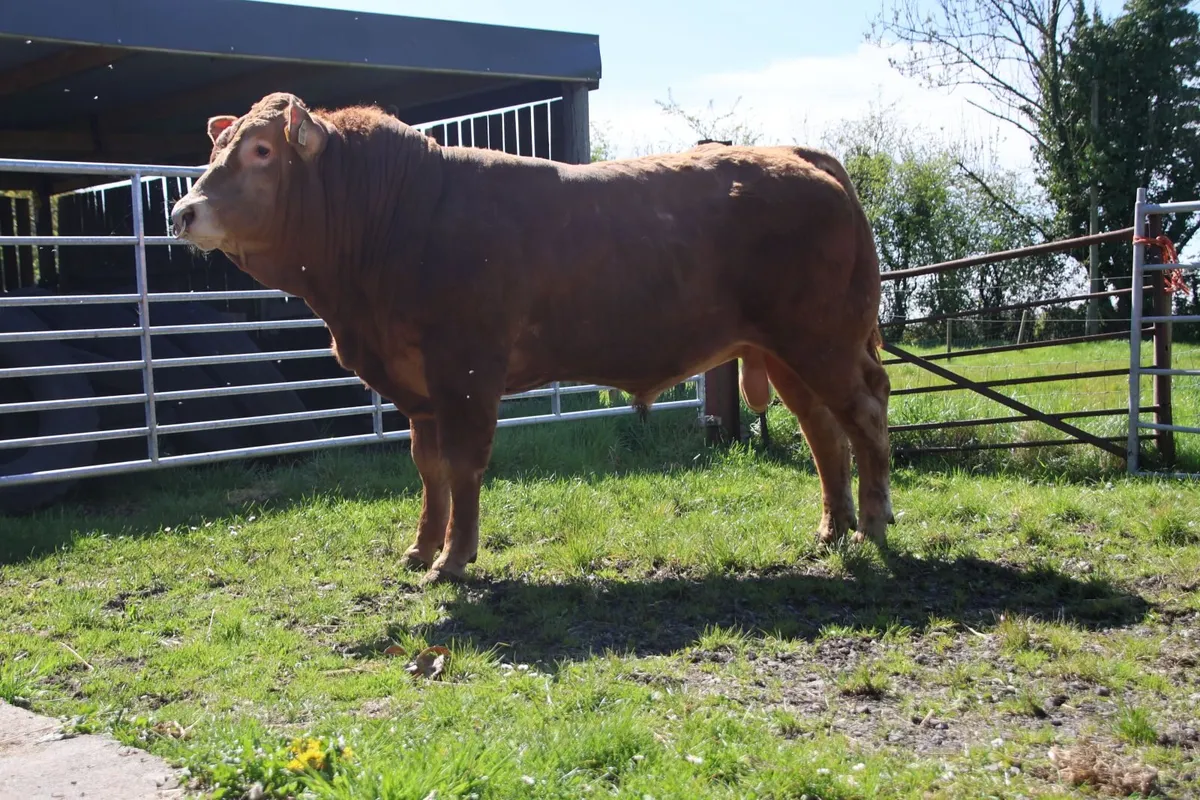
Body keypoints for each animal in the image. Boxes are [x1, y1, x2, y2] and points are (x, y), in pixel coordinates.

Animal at [170, 92, 894, 585]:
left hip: (821, 338)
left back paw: (873, 521)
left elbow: (463, 464)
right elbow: (428, 468)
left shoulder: (466, 367)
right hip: (785, 349)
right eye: (215, 151)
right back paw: (831, 528)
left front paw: (453, 560)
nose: (182, 211)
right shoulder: (418, 389)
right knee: (824, 432)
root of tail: (796, 154)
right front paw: (420, 549)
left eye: (262, 151)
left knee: (864, 415)